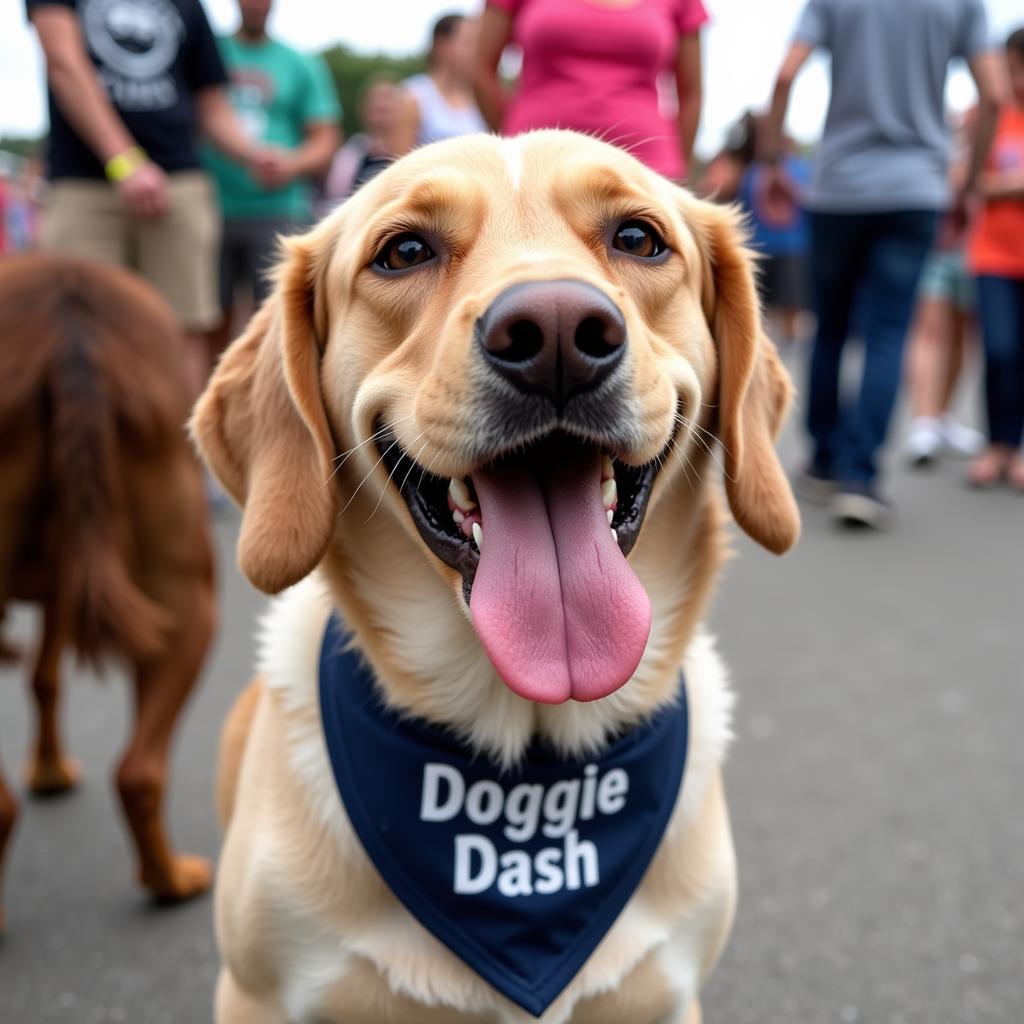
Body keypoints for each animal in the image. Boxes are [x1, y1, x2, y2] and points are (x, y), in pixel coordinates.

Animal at [0, 253, 216, 929]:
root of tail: (70, 311)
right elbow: (43, 677)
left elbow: (42, 677)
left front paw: (47, 770)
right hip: (186, 599)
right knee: (139, 771)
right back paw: (169, 880)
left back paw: (168, 880)